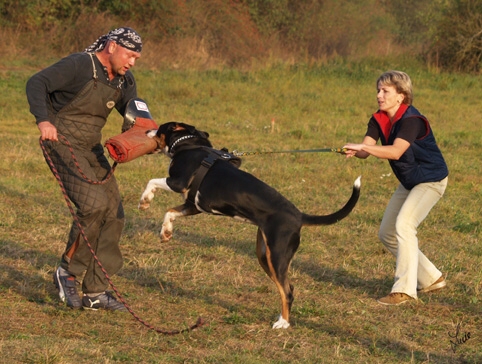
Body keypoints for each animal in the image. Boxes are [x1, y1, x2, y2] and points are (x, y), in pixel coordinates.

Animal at [137, 122, 360, 330]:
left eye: (160, 128)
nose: (146, 131)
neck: (190, 145)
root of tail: (299, 216)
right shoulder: (193, 205)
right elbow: (170, 212)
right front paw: (165, 233)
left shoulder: (178, 182)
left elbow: (152, 181)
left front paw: (145, 201)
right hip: (264, 256)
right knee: (289, 288)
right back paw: (281, 317)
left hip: (277, 257)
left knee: (287, 291)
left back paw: (283, 324)